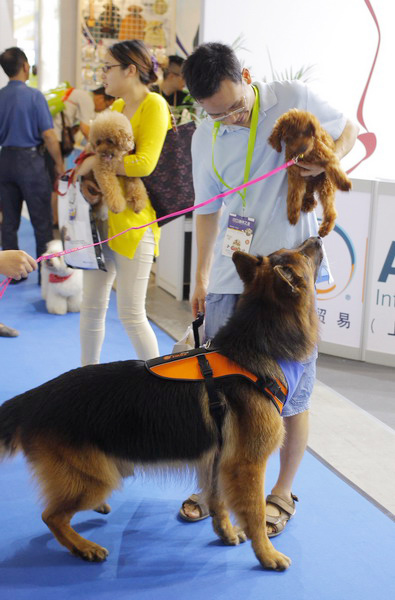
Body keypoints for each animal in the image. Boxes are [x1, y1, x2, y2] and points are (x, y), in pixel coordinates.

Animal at [0, 237, 322, 568]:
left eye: (293, 251)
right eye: (301, 253)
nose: (317, 238)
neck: (256, 344)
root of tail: (35, 396)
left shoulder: (219, 461)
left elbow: (219, 502)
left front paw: (226, 532)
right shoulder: (248, 465)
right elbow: (255, 514)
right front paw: (267, 555)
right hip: (98, 478)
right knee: (51, 516)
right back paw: (83, 546)